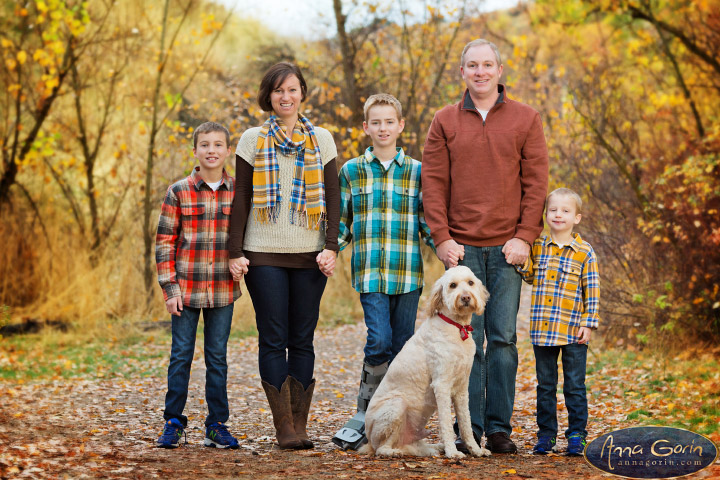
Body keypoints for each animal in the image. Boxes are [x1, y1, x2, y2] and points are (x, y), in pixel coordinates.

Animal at [358, 266, 490, 458]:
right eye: (453, 285)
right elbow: (446, 423)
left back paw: (434, 448)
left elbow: (466, 422)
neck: (456, 327)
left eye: (470, 283)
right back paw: (394, 452)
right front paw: (453, 452)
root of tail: (368, 440)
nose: (465, 297)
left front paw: (475, 449)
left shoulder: (461, 387)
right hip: (396, 406)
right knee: (381, 448)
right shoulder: (442, 385)